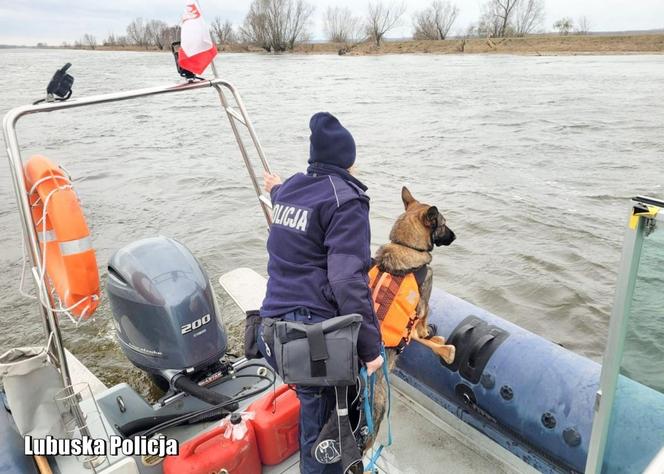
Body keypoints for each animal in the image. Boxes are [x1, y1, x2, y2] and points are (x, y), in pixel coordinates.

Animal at [364, 185, 456, 452]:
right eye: (443, 224)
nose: (455, 236)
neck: (406, 245)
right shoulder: (425, 297)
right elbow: (423, 320)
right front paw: (428, 333)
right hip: (379, 408)